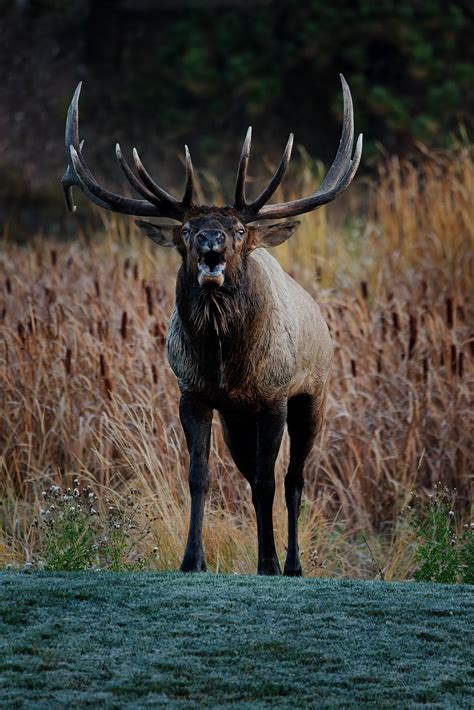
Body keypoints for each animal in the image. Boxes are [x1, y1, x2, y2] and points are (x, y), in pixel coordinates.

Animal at [61, 78, 362, 580]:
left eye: (238, 229)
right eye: (186, 230)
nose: (210, 242)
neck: (227, 362)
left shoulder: (274, 395)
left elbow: (269, 480)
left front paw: (268, 562)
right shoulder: (194, 394)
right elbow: (200, 477)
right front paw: (192, 560)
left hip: (313, 395)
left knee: (293, 478)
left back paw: (292, 563)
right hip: (236, 420)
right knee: (254, 477)